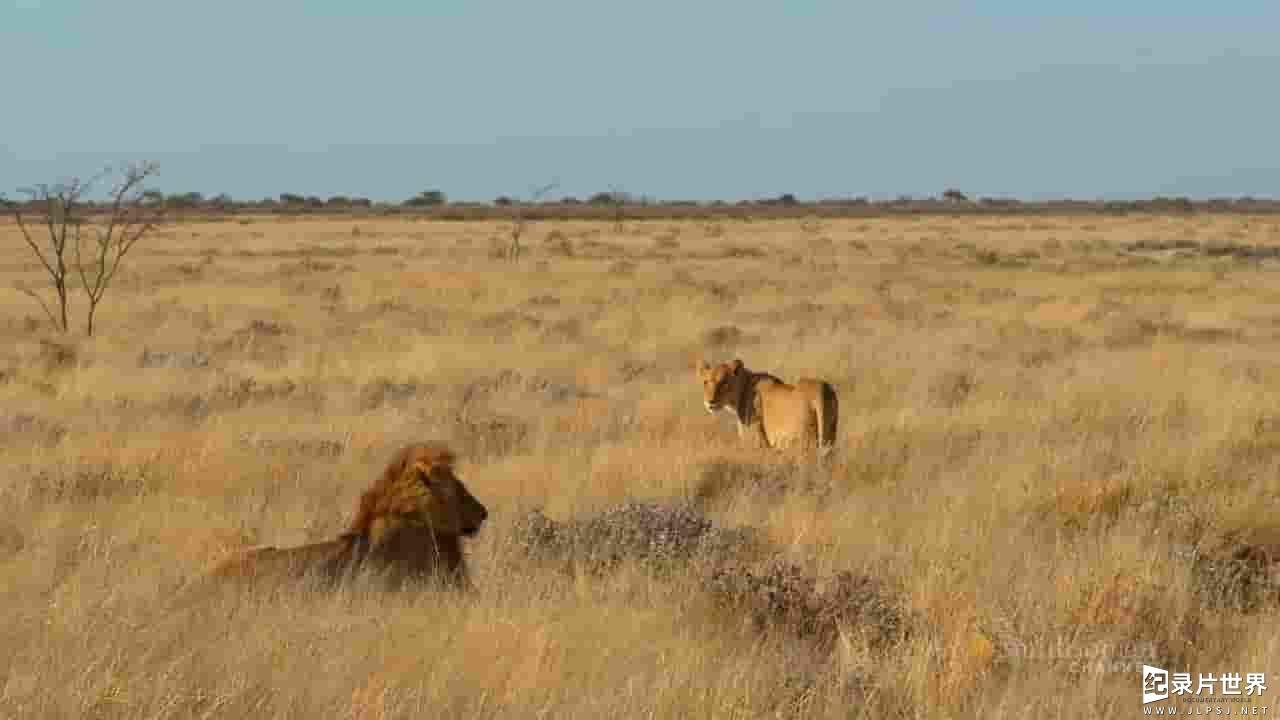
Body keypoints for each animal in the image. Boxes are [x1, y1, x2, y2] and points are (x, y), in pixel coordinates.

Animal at [701, 356, 839, 453]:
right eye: (705, 382)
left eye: (724, 382)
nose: (710, 402)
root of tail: (822, 388)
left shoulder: (757, 443)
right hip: (829, 436)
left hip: (804, 441)